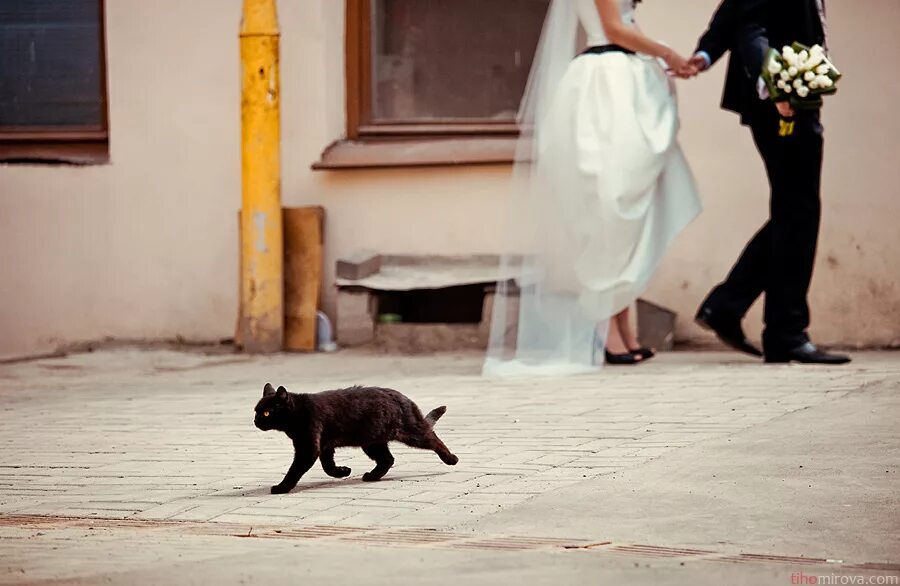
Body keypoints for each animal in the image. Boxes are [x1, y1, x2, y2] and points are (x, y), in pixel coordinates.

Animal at [256, 380, 460, 490]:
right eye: (256, 411)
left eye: (266, 413)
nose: (256, 421)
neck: (297, 412)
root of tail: (404, 397)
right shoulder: (324, 446)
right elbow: (328, 466)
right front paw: (343, 472)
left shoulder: (308, 448)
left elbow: (295, 470)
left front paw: (282, 487)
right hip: (372, 442)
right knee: (387, 459)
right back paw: (372, 476)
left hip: (411, 433)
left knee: (433, 439)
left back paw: (451, 459)